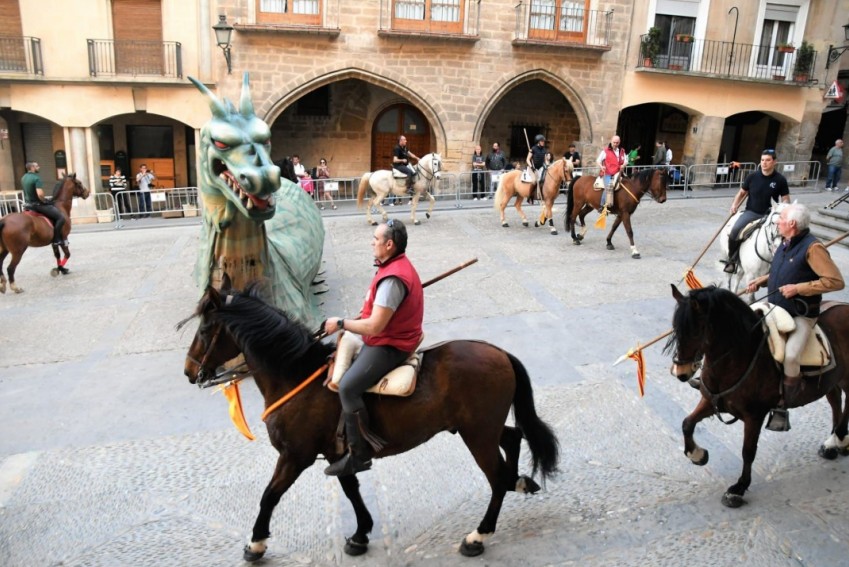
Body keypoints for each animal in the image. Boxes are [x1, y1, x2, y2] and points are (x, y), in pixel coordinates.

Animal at [182, 282, 560, 560]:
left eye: (205, 328)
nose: (188, 372)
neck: (295, 376)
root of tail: (499, 352)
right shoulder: (337, 453)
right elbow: (350, 488)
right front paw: (361, 532)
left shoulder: (295, 456)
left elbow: (269, 496)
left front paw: (256, 543)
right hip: (481, 427)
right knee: (513, 437)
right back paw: (518, 481)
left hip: (477, 435)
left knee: (496, 478)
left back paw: (478, 535)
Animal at [664, 286, 844, 508]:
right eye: (675, 329)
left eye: (696, 331)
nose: (681, 373)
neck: (738, 358)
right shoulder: (711, 401)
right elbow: (687, 423)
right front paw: (698, 455)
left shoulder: (754, 416)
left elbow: (748, 451)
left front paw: (738, 489)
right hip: (832, 381)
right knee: (836, 402)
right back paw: (833, 444)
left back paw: (838, 439)